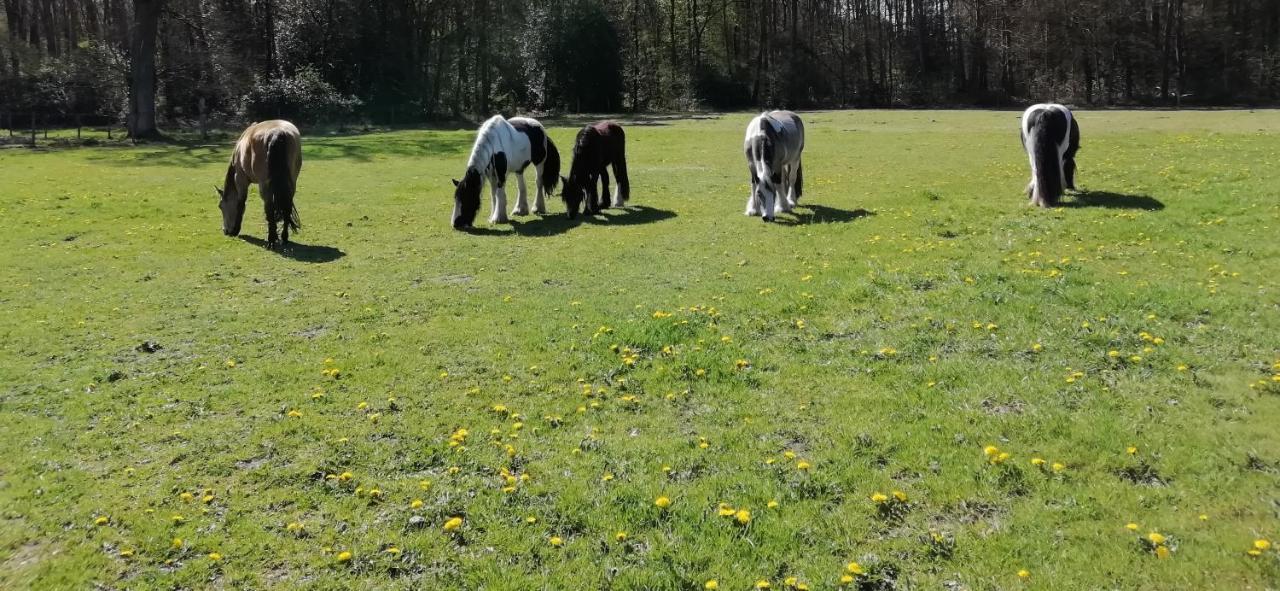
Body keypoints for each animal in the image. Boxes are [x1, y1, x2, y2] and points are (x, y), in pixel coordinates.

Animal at [217, 118, 304, 248]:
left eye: (221, 206)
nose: (225, 231)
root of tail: (278, 133)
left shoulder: (240, 179)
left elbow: (241, 203)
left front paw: (236, 229)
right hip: (292, 182)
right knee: (286, 206)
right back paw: (284, 237)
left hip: (264, 185)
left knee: (269, 207)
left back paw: (271, 239)